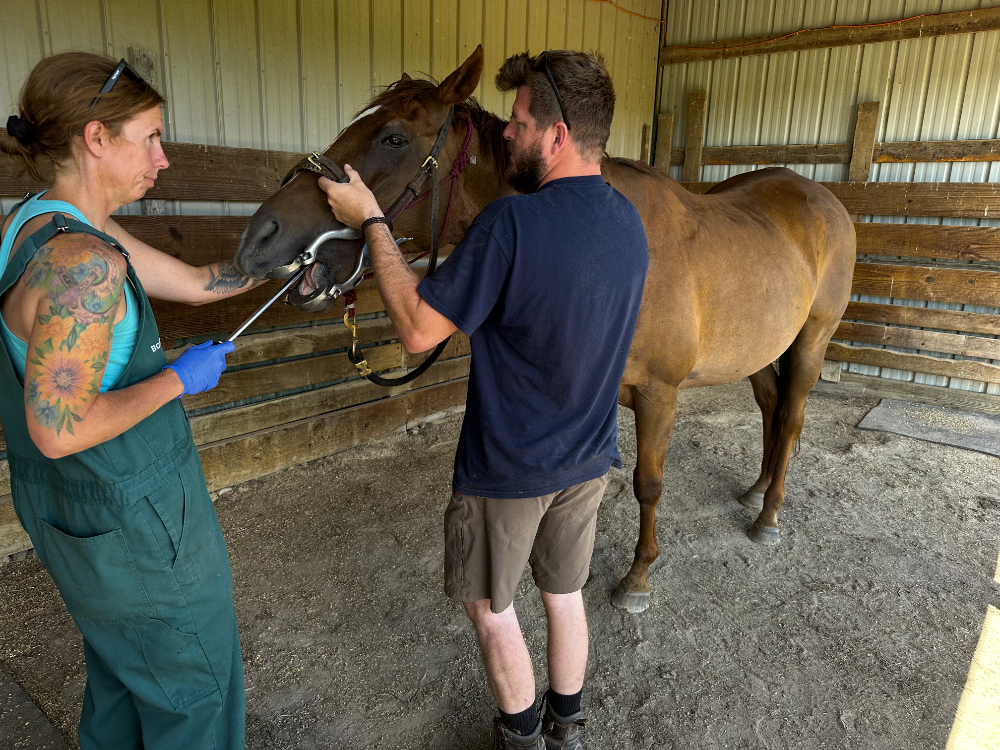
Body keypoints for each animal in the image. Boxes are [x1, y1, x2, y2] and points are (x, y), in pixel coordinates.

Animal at [234, 46, 856, 614]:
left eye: (393, 138)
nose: (260, 238)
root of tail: (821, 197)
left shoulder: (660, 395)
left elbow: (648, 484)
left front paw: (637, 577)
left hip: (812, 341)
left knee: (792, 414)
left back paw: (769, 513)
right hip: (760, 350)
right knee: (772, 407)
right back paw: (756, 489)